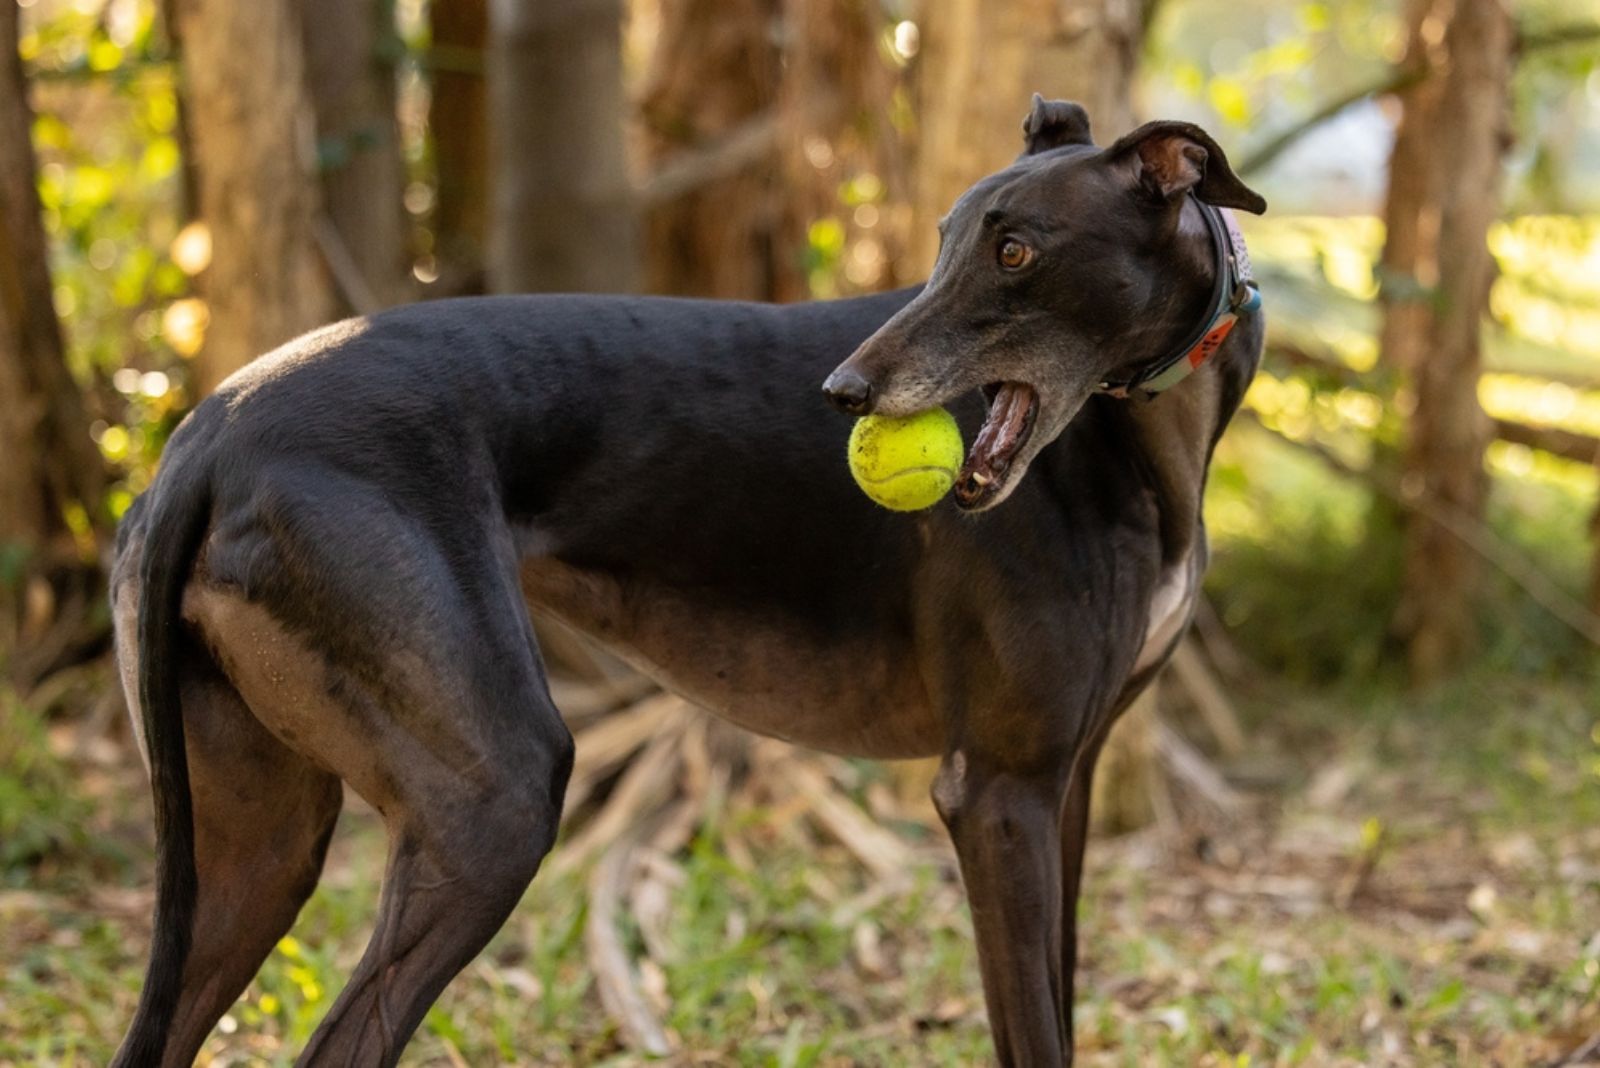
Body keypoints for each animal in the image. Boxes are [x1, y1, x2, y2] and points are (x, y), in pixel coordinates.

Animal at [112, 95, 1260, 1061]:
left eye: (1017, 250)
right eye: (943, 243)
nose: (843, 392)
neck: (1141, 441)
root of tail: (209, 434)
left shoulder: (1064, 781)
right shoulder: (998, 791)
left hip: (256, 845)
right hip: (491, 798)